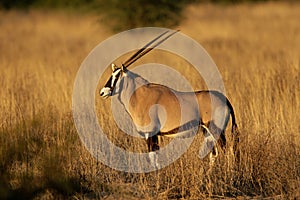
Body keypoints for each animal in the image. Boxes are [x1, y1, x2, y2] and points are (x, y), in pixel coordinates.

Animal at [100, 30, 239, 166]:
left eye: (117, 75)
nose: (102, 92)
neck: (140, 96)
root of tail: (225, 100)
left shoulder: (149, 134)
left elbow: (152, 158)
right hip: (207, 132)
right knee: (214, 154)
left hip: (216, 130)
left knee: (226, 151)